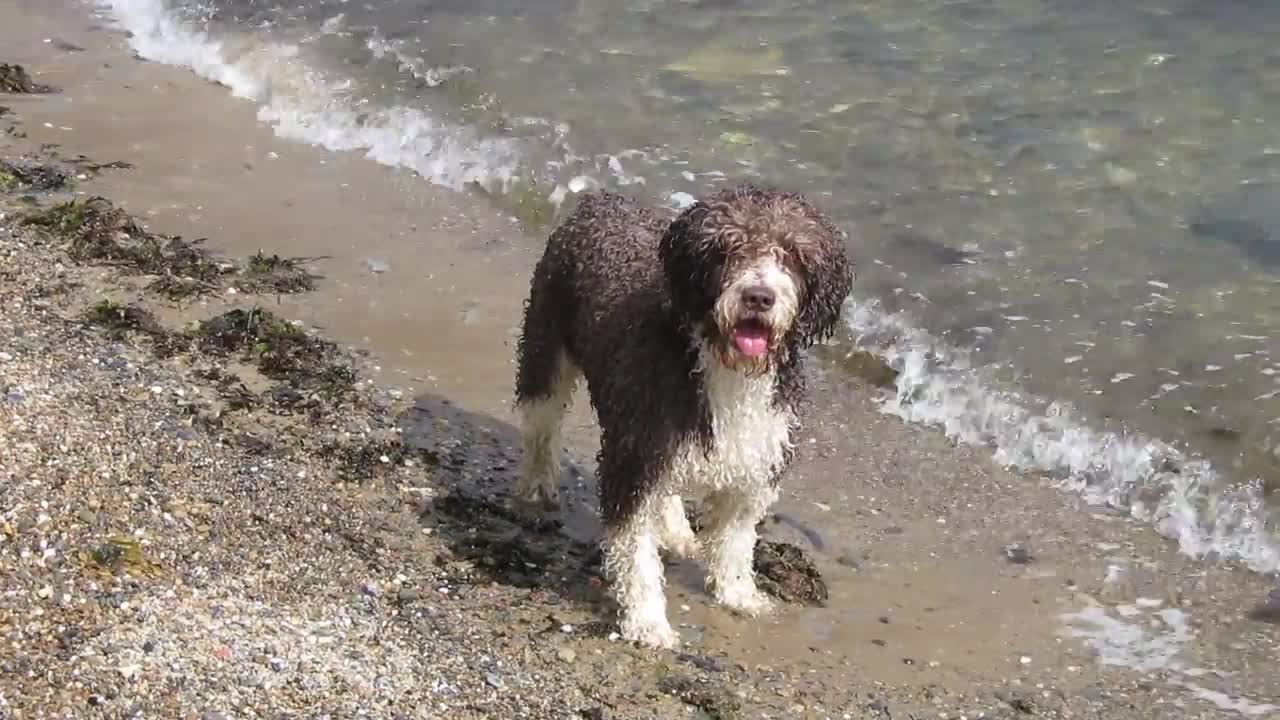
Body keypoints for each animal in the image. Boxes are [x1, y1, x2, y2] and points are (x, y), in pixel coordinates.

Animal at [509, 181, 849, 648]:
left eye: (793, 254)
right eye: (726, 248)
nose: (758, 297)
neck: (726, 369)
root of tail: (603, 199)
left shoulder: (756, 455)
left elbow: (735, 538)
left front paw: (738, 593)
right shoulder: (635, 456)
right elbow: (635, 552)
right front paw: (647, 621)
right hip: (546, 342)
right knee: (541, 423)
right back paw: (539, 483)